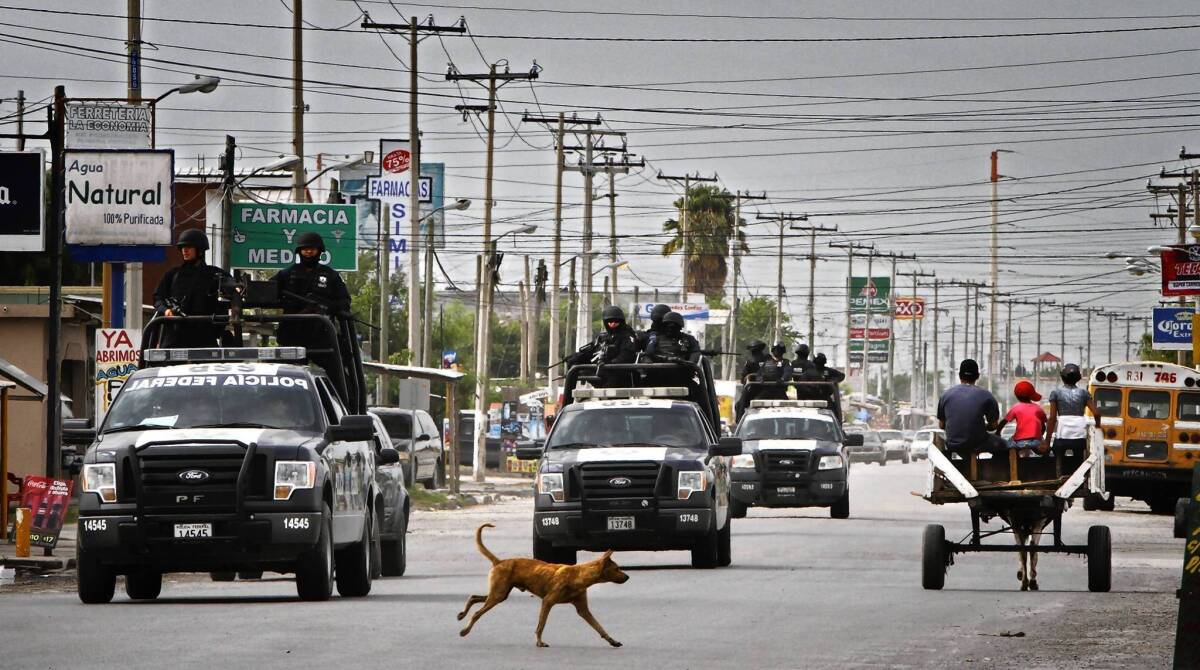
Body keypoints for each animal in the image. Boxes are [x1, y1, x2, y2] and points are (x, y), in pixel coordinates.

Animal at [456, 523, 628, 648]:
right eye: (617, 569)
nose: (628, 576)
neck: (578, 575)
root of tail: (499, 561)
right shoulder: (548, 602)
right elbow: (541, 624)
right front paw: (539, 642)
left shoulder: (583, 610)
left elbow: (599, 627)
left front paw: (612, 640)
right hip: (498, 595)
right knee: (477, 613)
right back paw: (465, 630)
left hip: (500, 593)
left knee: (474, 597)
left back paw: (462, 615)